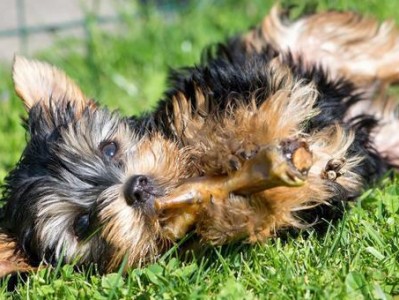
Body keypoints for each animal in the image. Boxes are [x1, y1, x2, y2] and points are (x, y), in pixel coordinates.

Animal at [0, 5, 399, 276]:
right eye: (83, 224)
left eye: (109, 148)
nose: (136, 187)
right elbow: (270, 213)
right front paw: (235, 205)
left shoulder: (222, 83)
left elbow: (223, 111)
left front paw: (232, 145)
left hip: (304, 41)